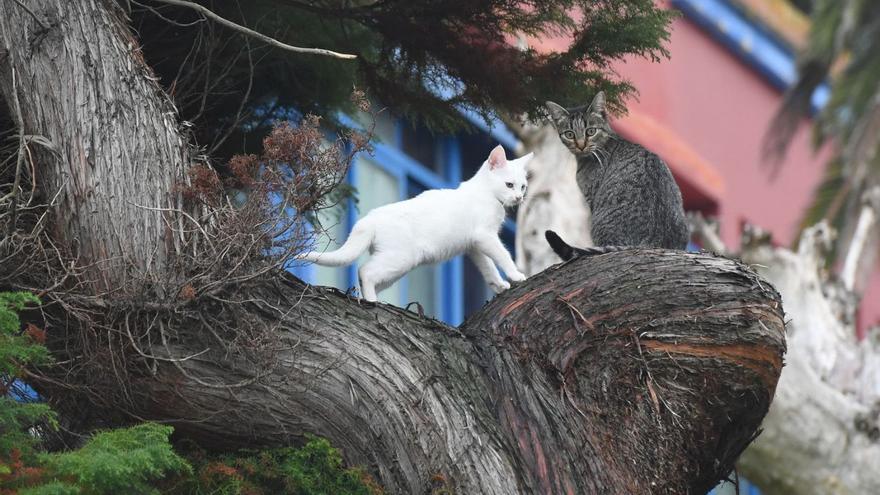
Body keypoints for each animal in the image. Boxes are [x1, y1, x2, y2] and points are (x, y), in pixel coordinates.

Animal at [300, 145, 532, 302]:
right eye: (509, 185)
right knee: (365, 271)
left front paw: (499, 285)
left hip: (396, 268)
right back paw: (373, 302)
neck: (487, 194)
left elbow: (488, 267)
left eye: (523, 187)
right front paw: (516, 276)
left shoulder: (474, 245)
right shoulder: (485, 236)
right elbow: (503, 256)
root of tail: (371, 217)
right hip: (401, 259)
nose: (519, 198)